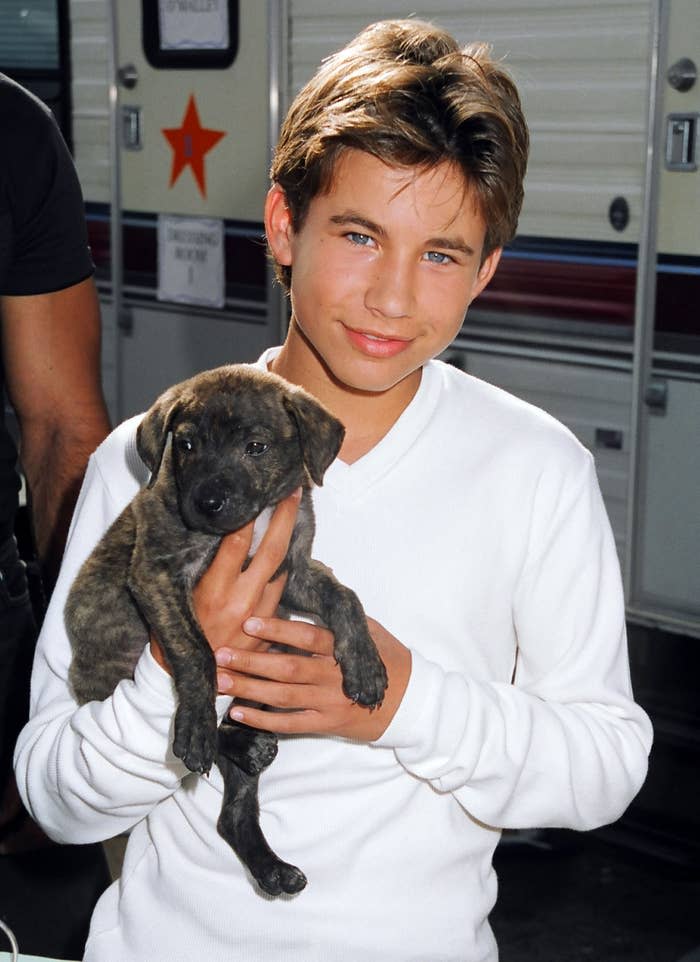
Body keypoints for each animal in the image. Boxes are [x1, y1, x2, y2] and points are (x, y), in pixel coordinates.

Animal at [65, 364, 388, 896]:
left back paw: (270, 860)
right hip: (111, 675)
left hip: (267, 679)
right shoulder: (158, 575)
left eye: (255, 447)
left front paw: (365, 665)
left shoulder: (291, 573)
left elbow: (345, 596)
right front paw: (196, 723)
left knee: (234, 809)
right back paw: (220, 739)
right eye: (186, 445)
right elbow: (198, 651)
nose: (207, 502)